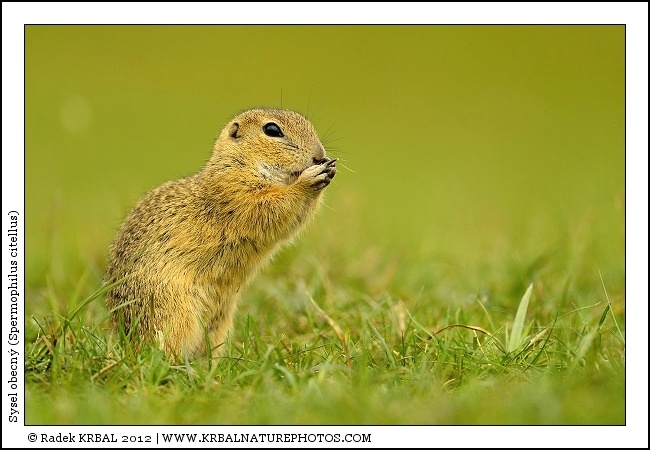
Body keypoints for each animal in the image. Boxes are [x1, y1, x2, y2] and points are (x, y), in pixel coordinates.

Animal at [104, 108, 336, 361]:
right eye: (272, 130)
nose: (319, 155)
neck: (240, 164)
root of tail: (127, 340)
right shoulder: (236, 193)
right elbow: (271, 206)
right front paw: (308, 179)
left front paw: (328, 171)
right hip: (174, 313)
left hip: (219, 322)